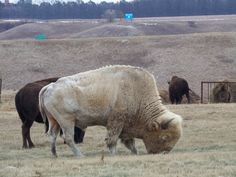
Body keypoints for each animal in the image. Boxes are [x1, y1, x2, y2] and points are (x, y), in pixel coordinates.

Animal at [38, 65, 183, 157]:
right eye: (164, 137)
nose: (163, 153)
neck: (137, 94)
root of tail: (50, 86)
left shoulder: (125, 125)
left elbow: (129, 141)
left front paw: (135, 152)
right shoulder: (116, 121)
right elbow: (112, 139)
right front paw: (114, 154)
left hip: (54, 121)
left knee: (52, 135)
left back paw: (55, 155)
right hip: (66, 121)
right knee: (68, 138)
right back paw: (80, 155)